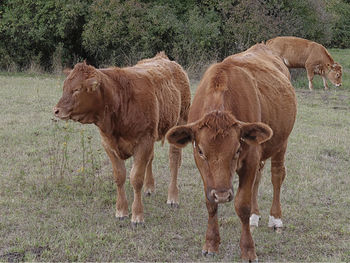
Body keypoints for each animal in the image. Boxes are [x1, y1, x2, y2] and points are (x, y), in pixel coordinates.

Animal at [54, 52, 191, 226]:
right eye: (64, 87)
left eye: (77, 89)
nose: (56, 110)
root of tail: (163, 58)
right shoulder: (109, 144)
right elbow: (119, 177)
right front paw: (121, 211)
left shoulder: (143, 141)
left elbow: (136, 178)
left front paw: (137, 215)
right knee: (151, 159)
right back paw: (149, 187)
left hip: (180, 122)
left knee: (174, 160)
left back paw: (173, 197)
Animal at [165, 43, 296, 262]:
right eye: (201, 151)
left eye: (237, 150)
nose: (222, 194)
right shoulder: (206, 172)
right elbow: (210, 204)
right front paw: (211, 243)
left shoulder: (250, 158)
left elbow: (242, 205)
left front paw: (248, 250)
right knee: (258, 178)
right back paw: (255, 216)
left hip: (281, 143)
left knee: (277, 176)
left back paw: (275, 219)